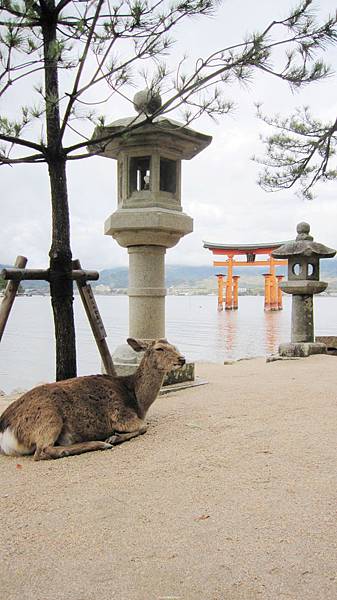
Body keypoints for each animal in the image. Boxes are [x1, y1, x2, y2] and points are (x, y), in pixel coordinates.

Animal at [0, 340, 184, 462]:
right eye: (160, 348)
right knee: (42, 451)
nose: (182, 359)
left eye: (175, 346)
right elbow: (144, 427)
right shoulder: (121, 415)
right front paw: (114, 438)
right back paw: (101, 444)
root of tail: (5, 431)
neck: (138, 402)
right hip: (49, 417)